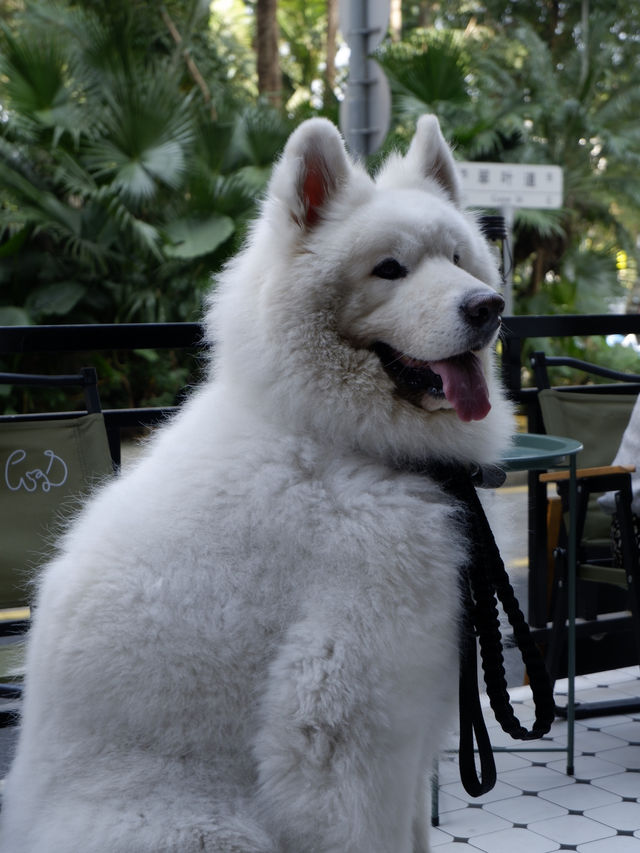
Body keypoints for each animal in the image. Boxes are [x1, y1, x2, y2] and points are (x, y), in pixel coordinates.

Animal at [0, 115, 512, 852]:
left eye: (460, 259)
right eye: (390, 269)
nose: (487, 305)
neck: (338, 442)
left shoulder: (413, 736)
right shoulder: (346, 718)